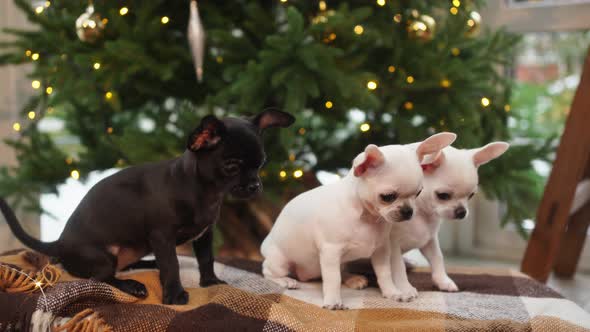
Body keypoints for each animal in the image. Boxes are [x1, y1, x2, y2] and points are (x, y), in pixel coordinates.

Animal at [0, 110, 296, 304]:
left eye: (261, 163)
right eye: (232, 166)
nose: (255, 186)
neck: (203, 191)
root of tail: (58, 243)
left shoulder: (204, 234)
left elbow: (206, 259)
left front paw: (210, 281)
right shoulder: (162, 236)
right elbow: (171, 265)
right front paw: (175, 295)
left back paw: (147, 263)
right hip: (104, 257)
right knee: (101, 278)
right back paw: (132, 286)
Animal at [262, 132, 458, 308]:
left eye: (418, 193)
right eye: (388, 197)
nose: (408, 211)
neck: (367, 217)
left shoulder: (381, 251)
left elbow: (384, 274)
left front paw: (392, 293)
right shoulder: (330, 252)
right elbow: (333, 279)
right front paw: (333, 301)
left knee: (342, 270)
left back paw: (353, 279)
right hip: (280, 261)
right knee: (267, 271)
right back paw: (286, 281)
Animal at [344, 141, 512, 300]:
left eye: (471, 196)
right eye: (443, 195)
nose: (461, 212)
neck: (422, 214)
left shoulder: (429, 241)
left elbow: (438, 259)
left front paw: (443, 281)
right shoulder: (393, 246)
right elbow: (398, 267)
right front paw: (406, 288)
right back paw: (353, 279)